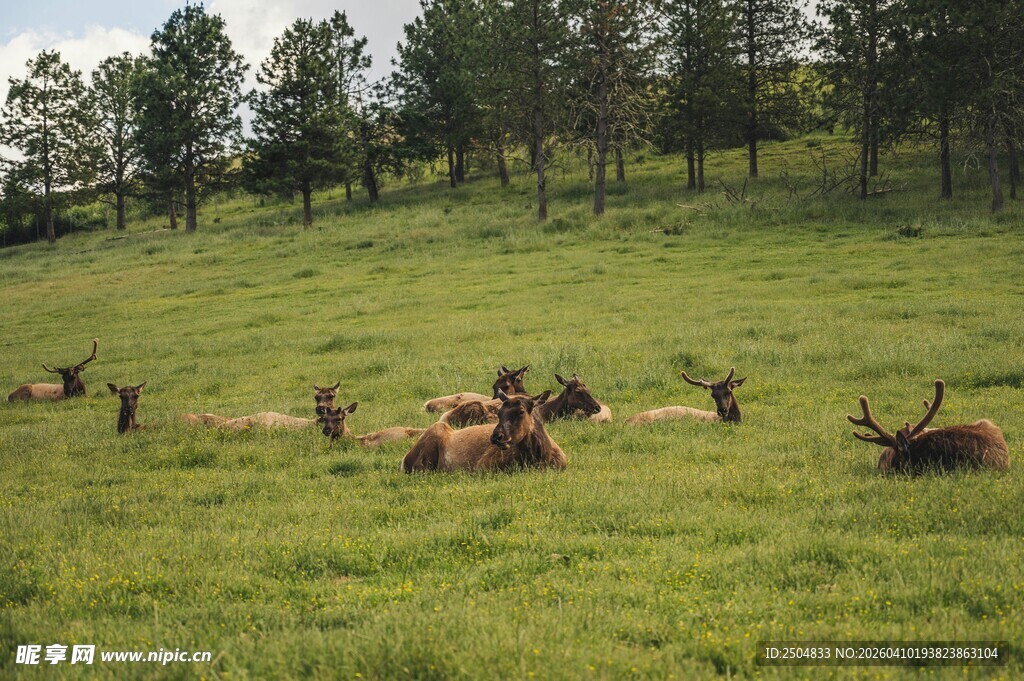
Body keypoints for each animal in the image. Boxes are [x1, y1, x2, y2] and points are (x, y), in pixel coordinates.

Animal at [402, 390, 566, 473]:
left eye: (521, 411)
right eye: (499, 412)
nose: (496, 437)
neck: (540, 458)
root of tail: (404, 460)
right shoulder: (483, 467)